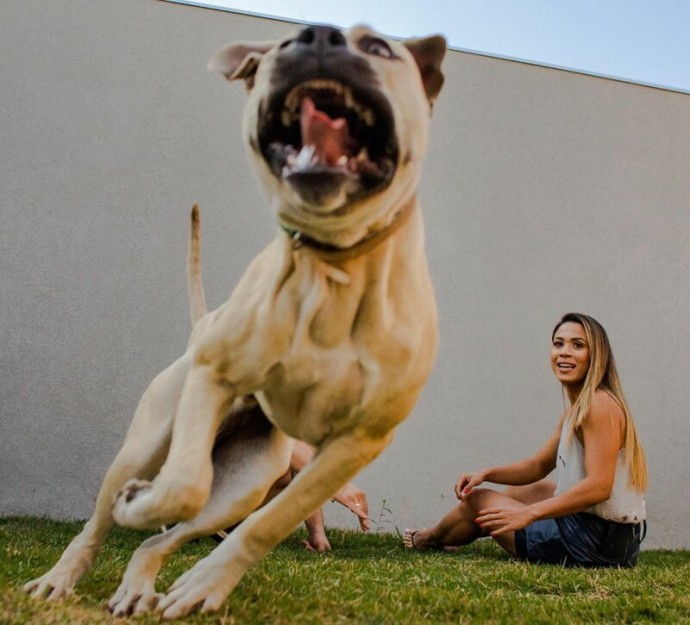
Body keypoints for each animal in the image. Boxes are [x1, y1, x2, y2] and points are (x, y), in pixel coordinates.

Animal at [24, 23, 444, 616]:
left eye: (381, 49)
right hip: (146, 442)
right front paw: (142, 506)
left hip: (246, 481)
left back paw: (141, 586)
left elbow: (269, 523)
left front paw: (205, 586)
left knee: (173, 534)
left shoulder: (356, 444)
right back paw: (62, 575)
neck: (334, 266)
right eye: (282, 46)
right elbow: (182, 485)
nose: (318, 36)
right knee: (106, 519)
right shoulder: (214, 376)